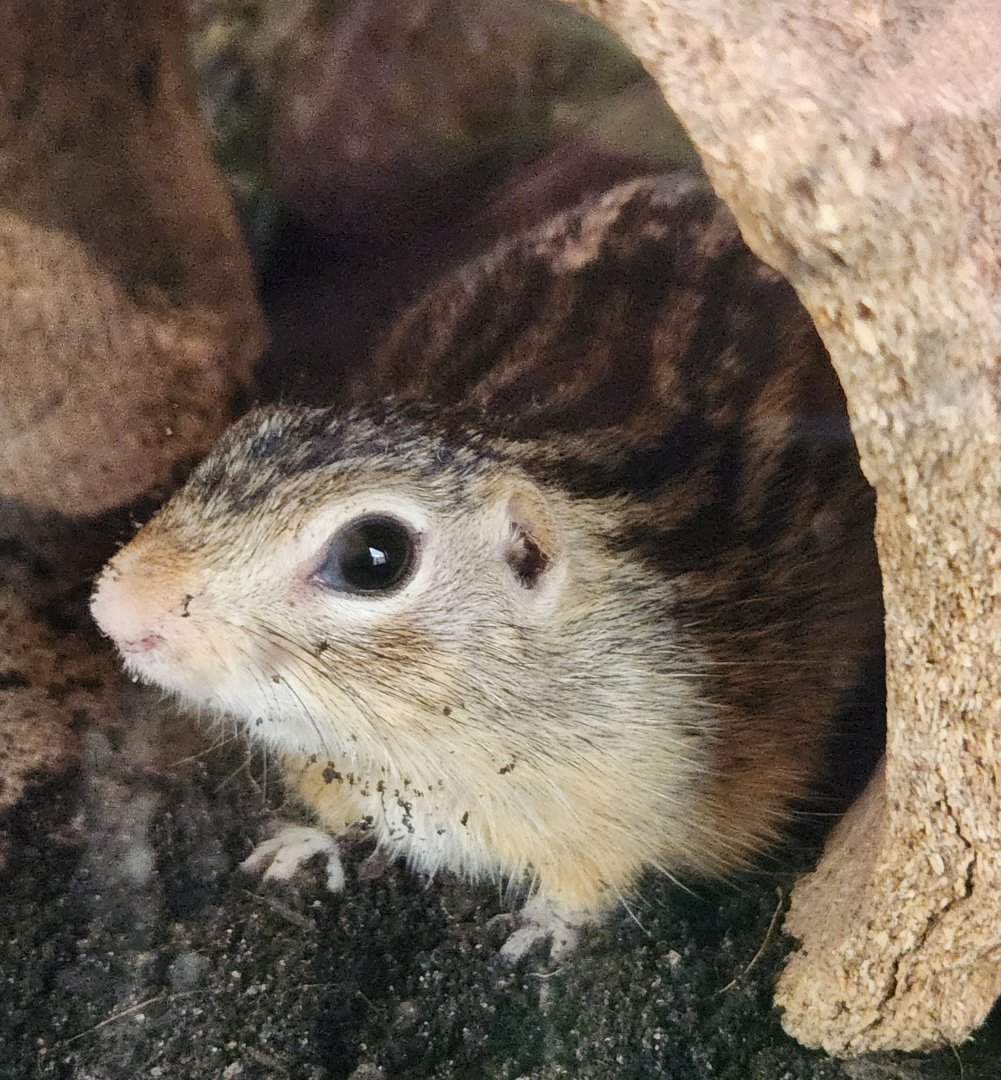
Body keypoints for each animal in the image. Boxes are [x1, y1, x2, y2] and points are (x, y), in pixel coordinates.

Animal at [90, 173, 882, 955]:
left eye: (373, 556)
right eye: (239, 439)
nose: (115, 605)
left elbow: (588, 886)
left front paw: (539, 934)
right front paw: (301, 845)